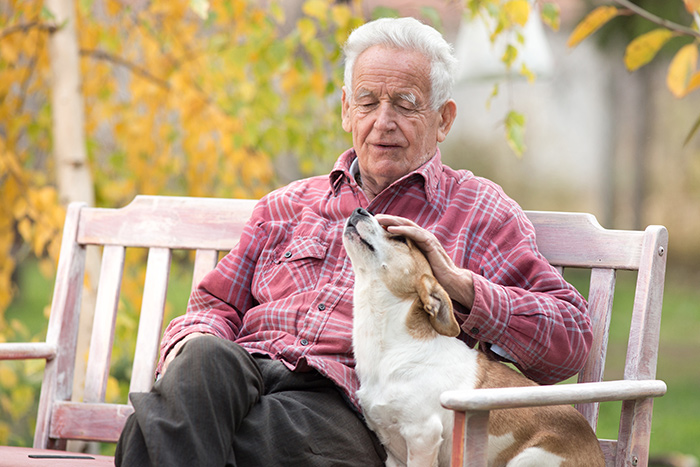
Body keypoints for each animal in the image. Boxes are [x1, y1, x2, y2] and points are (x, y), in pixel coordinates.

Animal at [342, 209, 604, 467]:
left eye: (399, 238)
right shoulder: (393, 453)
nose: (360, 210)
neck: (393, 350)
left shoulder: (422, 436)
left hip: (527, 459)